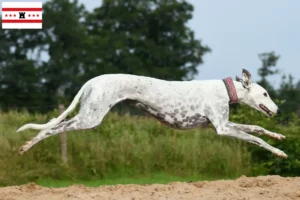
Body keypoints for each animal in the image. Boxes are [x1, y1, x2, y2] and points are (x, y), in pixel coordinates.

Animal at [17, 69, 288, 158]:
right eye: (265, 94)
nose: (277, 109)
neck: (226, 89)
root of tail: (92, 81)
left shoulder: (220, 125)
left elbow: (258, 129)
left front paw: (279, 138)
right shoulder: (222, 128)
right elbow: (256, 138)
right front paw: (279, 152)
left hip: (88, 115)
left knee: (53, 126)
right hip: (90, 118)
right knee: (53, 128)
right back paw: (27, 145)